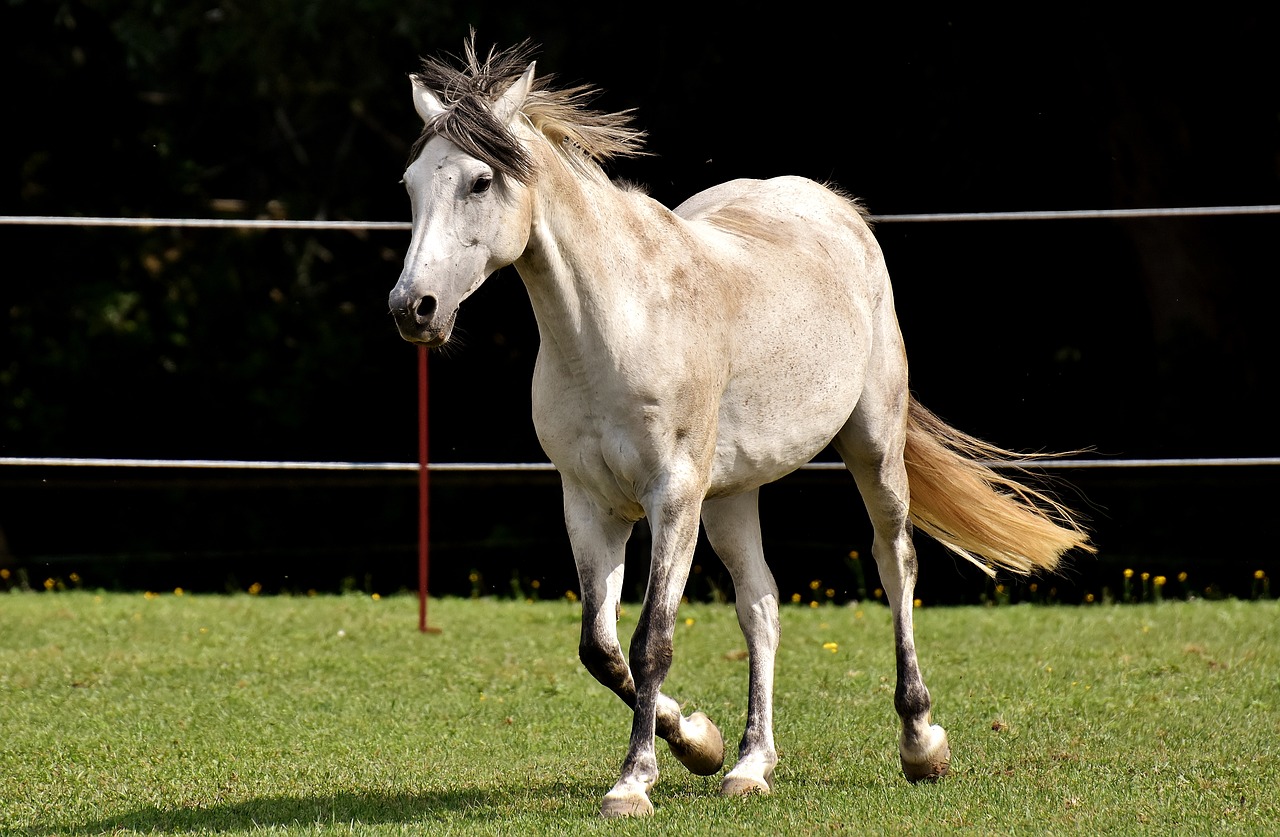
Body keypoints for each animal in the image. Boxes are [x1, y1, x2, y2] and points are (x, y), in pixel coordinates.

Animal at [386, 39, 1090, 819]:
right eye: (411, 185)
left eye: (481, 180)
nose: (413, 308)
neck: (616, 324)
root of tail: (832, 204)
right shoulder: (589, 503)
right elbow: (600, 647)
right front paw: (698, 741)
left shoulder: (673, 496)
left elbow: (651, 641)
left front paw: (634, 781)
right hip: (732, 496)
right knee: (762, 607)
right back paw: (752, 763)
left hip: (872, 447)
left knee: (894, 561)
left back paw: (920, 742)